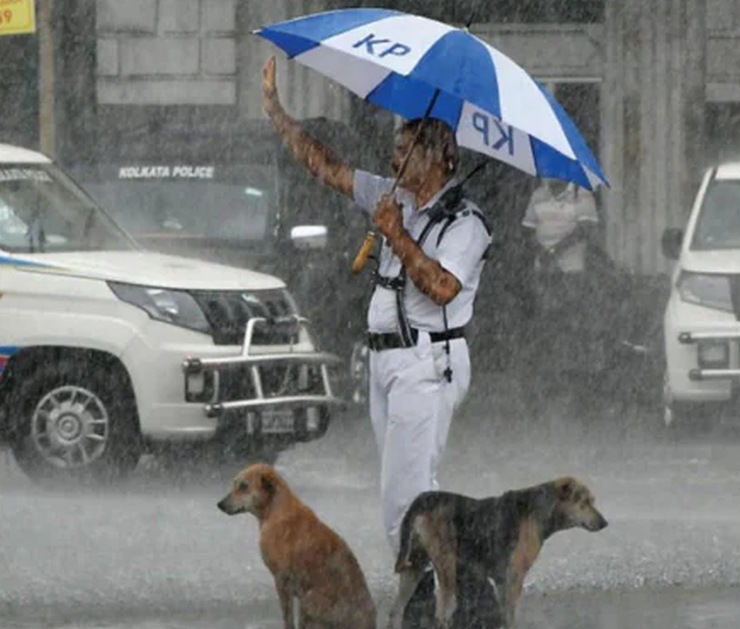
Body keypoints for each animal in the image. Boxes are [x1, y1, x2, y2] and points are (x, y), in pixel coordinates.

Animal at [215, 462, 376, 628]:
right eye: (235, 484)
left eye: (244, 486)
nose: (219, 504)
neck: (275, 510)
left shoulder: (281, 579)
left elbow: (288, 618)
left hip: (308, 600)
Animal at [388, 476, 608, 628]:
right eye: (585, 502)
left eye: (592, 500)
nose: (605, 523)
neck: (539, 511)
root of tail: (423, 498)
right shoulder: (514, 578)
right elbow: (511, 617)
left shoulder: (503, 581)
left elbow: (505, 616)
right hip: (446, 568)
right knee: (440, 617)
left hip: (414, 565)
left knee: (396, 611)